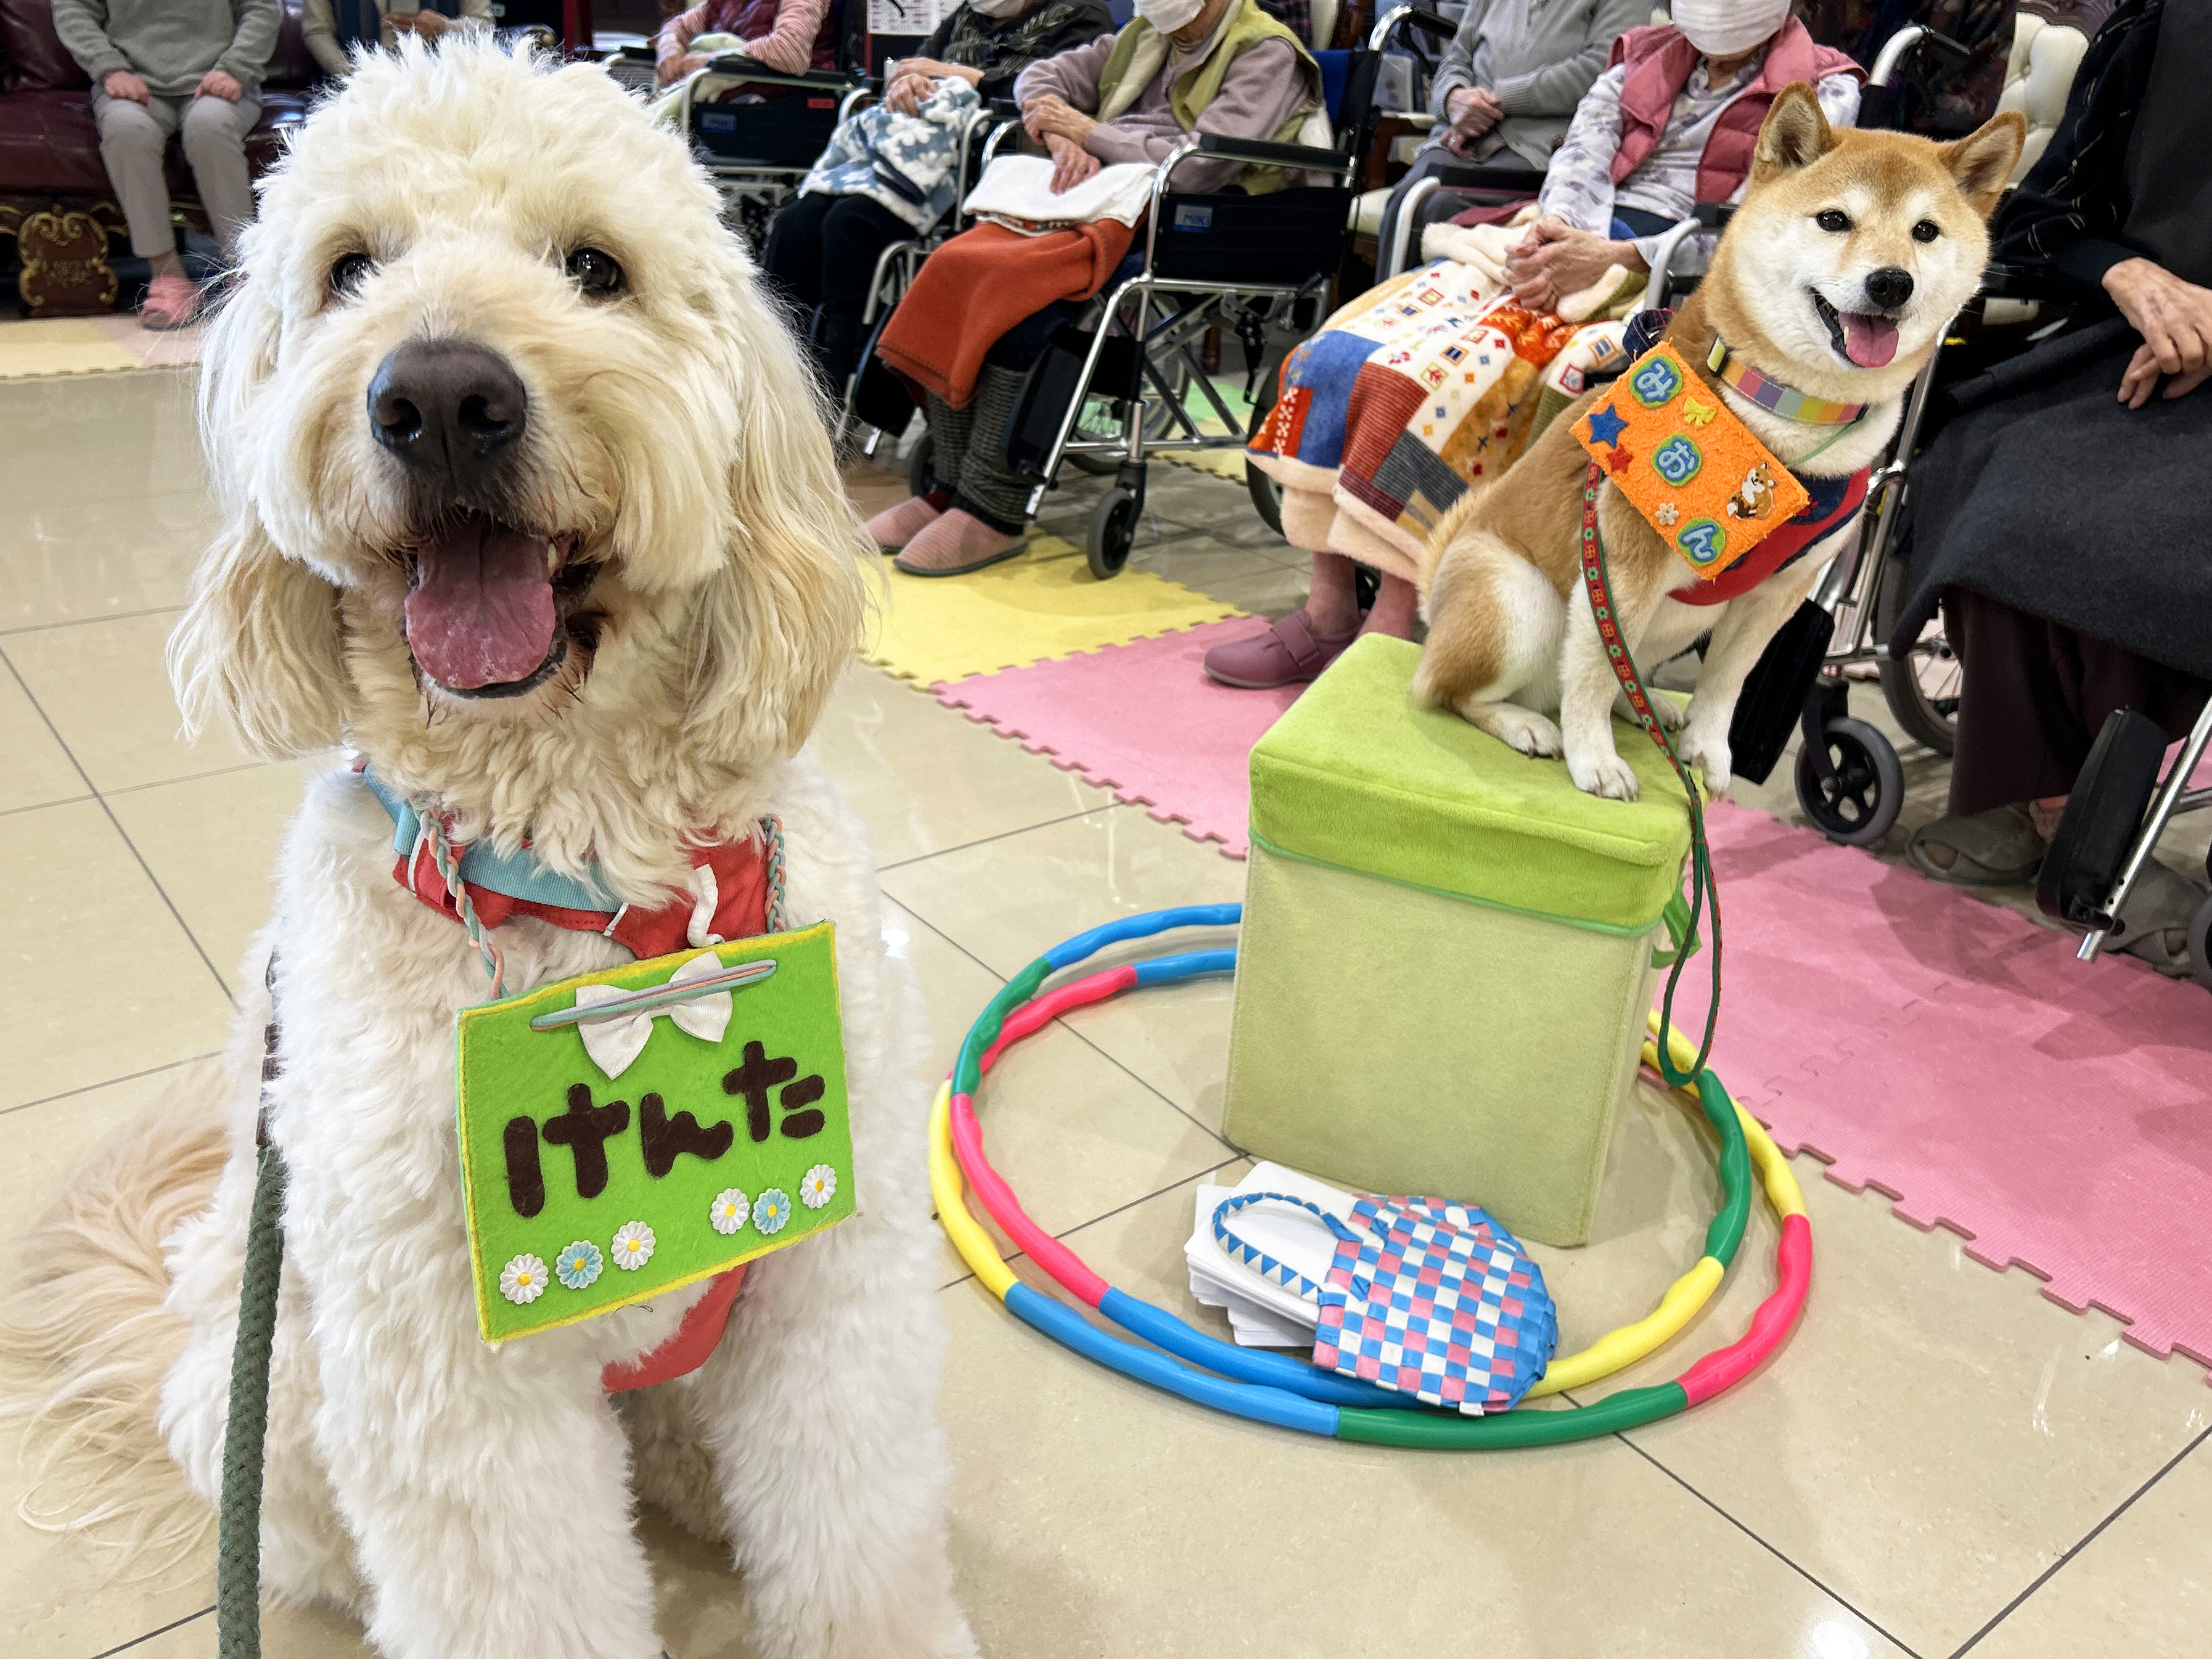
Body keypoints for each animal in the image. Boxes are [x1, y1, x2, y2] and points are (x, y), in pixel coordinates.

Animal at [9, 35, 973, 1659]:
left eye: (594, 267)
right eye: (348, 268)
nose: (442, 396)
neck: (601, 898)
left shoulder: (833, 1274)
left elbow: (861, 1535)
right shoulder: (450, 1369)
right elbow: (521, 1589)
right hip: (277, 1388)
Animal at [1415, 91, 2026, 805]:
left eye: (1925, 232)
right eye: (1834, 220)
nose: (1891, 282)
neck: (1792, 416)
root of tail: (1436, 593)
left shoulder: (1781, 591)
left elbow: (1727, 683)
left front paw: (1707, 754)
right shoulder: (1622, 564)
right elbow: (1592, 672)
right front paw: (1593, 759)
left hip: (1675, 625)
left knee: (1622, 674)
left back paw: (1647, 705)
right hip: (1520, 600)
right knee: (1448, 689)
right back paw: (1526, 724)